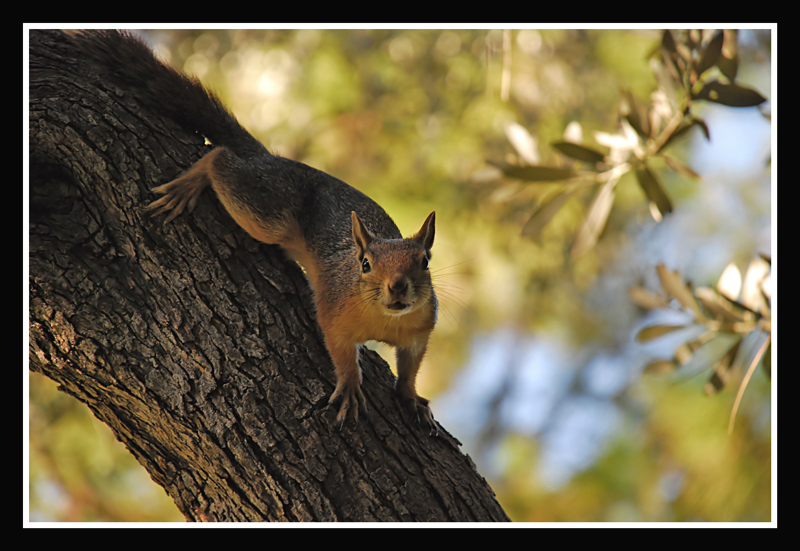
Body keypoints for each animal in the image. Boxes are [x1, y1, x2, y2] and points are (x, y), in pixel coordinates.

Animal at [69, 30, 440, 434]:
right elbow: (339, 350)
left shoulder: (420, 331)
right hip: (267, 210)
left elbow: (411, 367)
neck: (385, 319)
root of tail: (270, 159)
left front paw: (411, 397)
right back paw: (194, 179)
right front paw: (350, 386)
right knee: (220, 159)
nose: (398, 287)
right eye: (366, 264)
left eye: (424, 261)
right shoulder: (333, 309)